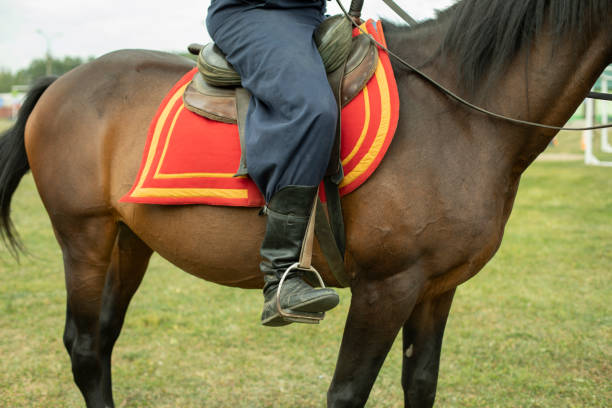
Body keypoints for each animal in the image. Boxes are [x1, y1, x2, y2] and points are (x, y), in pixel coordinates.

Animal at [0, 0, 608, 408]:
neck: (458, 112)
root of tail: (62, 81)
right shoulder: (387, 286)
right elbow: (347, 392)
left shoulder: (438, 288)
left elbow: (420, 384)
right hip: (84, 237)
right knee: (84, 346)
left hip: (129, 241)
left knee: (102, 340)